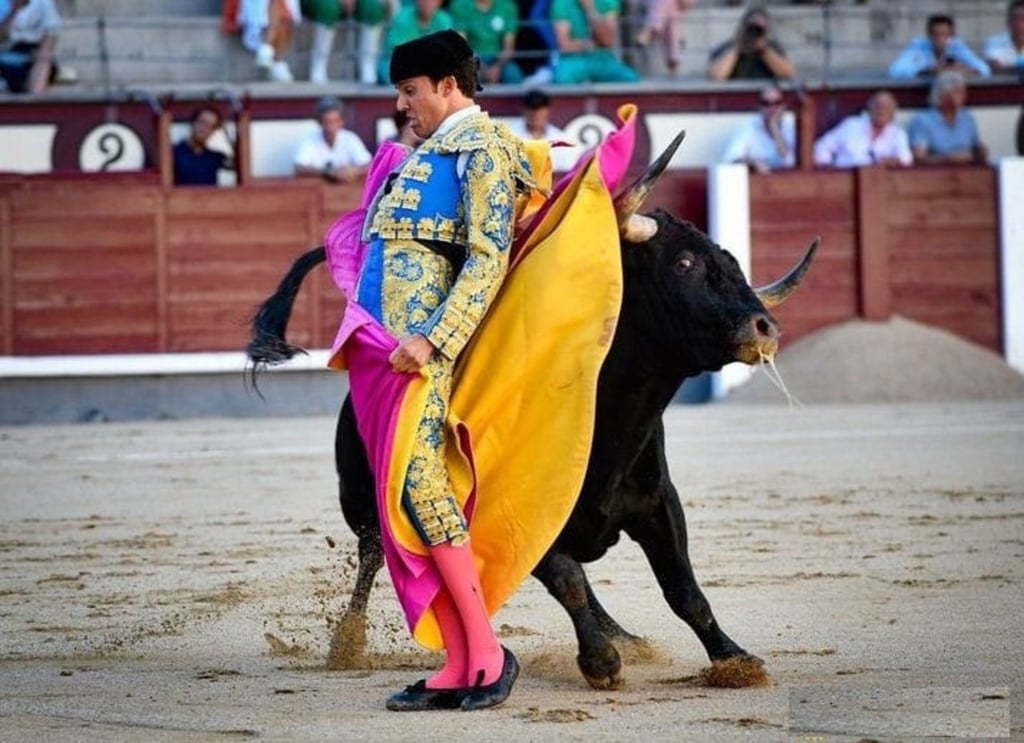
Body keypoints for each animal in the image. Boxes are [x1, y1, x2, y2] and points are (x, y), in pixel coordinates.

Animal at [247, 152, 815, 691]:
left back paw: (624, 636)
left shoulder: (658, 503)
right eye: (684, 262)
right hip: (362, 495)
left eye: (732, 261)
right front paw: (600, 662)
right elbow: (566, 578)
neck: (603, 415)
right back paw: (349, 643)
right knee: (371, 556)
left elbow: (683, 589)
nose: (765, 326)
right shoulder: (512, 513)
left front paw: (734, 658)